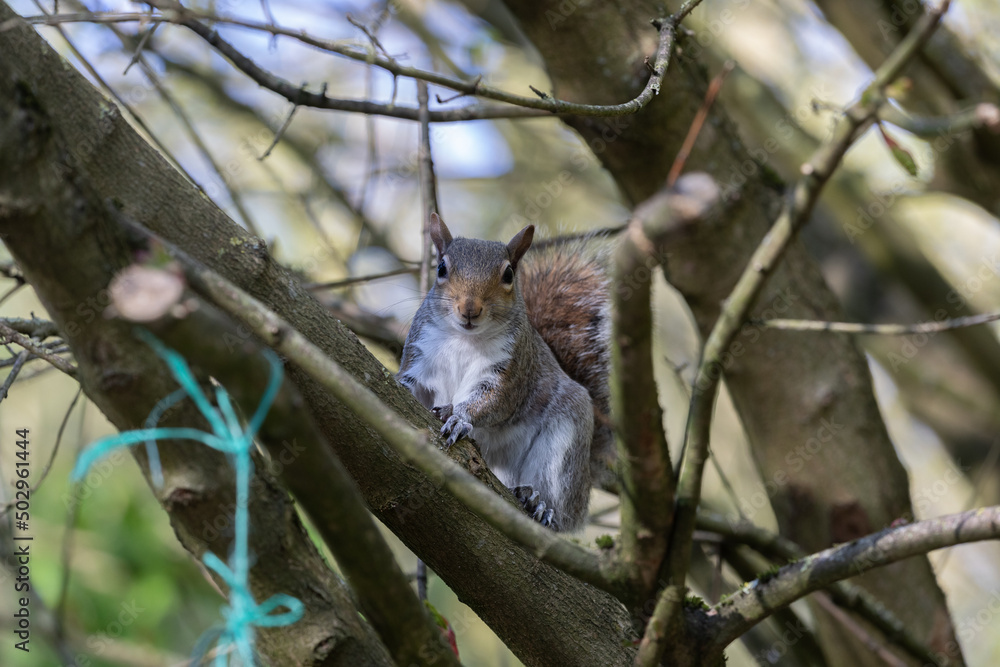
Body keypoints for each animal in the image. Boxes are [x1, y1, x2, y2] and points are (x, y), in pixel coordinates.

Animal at [397, 213, 613, 531]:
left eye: (509, 274)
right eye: (441, 268)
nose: (470, 308)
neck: (464, 339)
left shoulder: (510, 370)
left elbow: (494, 401)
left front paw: (459, 417)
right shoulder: (420, 354)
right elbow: (413, 386)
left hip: (565, 443)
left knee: (563, 513)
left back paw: (540, 504)